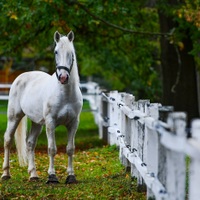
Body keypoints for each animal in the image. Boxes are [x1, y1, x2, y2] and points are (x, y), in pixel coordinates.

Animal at [1, 30, 83, 184]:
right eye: (56, 52)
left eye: (71, 53)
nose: (63, 77)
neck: (65, 94)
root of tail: (20, 77)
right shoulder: (51, 123)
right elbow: (52, 149)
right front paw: (52, 176)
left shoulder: (73, 123)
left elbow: (70, 149)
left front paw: (71, 176)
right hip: (14, 117)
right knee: (8, 140)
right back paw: (6, 174)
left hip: (37, 122)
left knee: (30, 143)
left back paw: (33, 175)